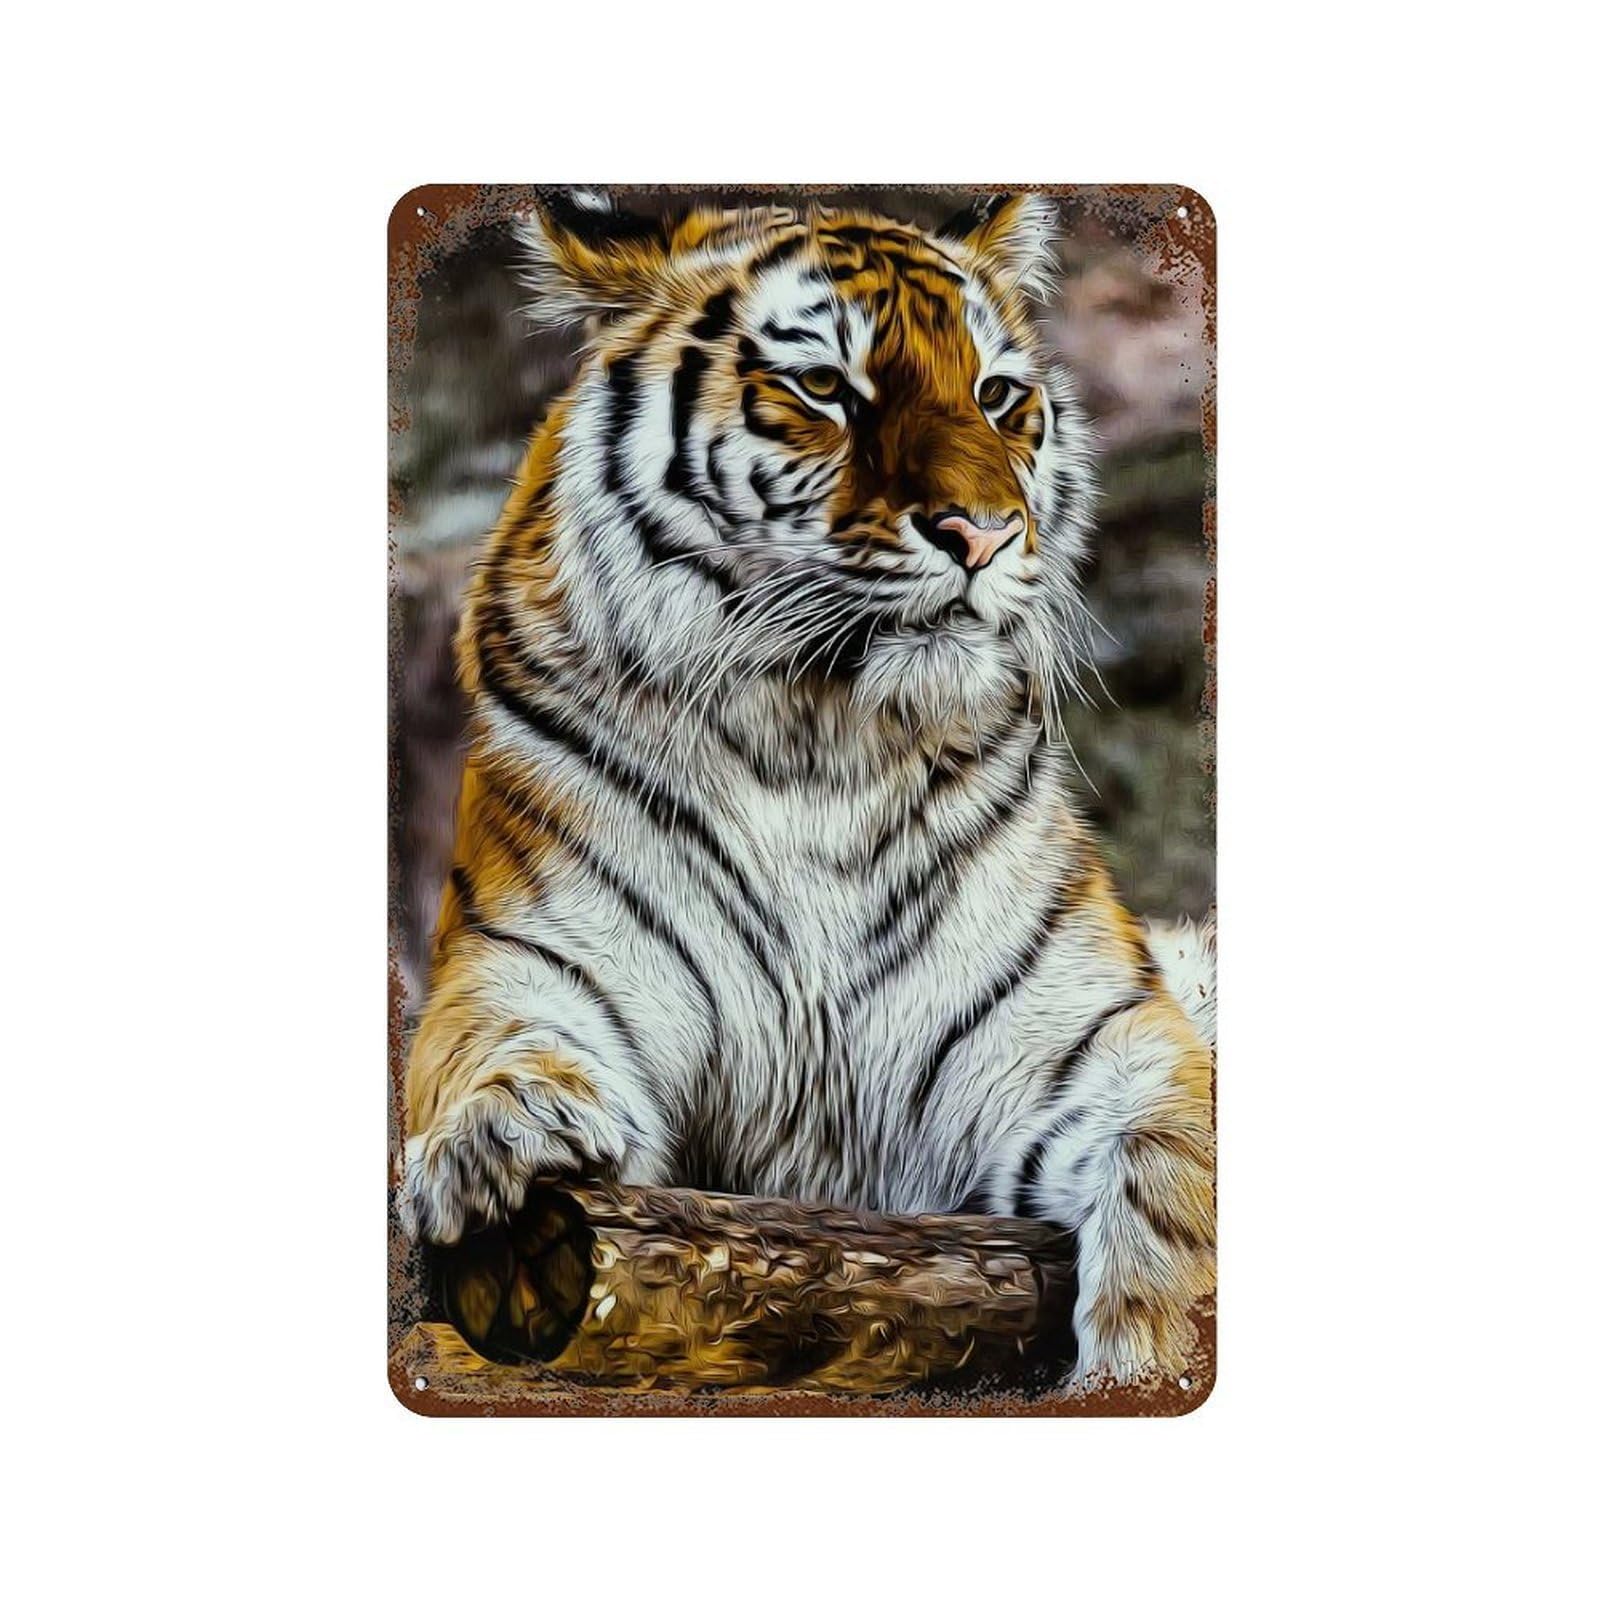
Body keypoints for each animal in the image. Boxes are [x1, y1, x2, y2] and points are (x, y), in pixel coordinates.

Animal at [400, 189, 1216, 1382]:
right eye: (825, 387)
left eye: (997, 396)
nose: (983, 533)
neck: (818, 744)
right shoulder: (530, 955)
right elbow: (490, 1043)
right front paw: (502, 1136)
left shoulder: (1102, 1040)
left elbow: (1175, 1198)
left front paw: (1142, 1372)